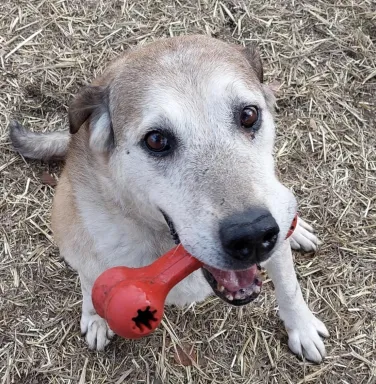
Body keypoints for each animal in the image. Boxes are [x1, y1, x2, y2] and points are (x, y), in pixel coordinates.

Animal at [9, 35, 328, 364]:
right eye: (156, 140)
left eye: (248, 115)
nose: (252, 235)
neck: (166, 251)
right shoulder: (81, 248)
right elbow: (90, 284)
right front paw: (95, 318)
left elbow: (289, 286)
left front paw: (302, 328)